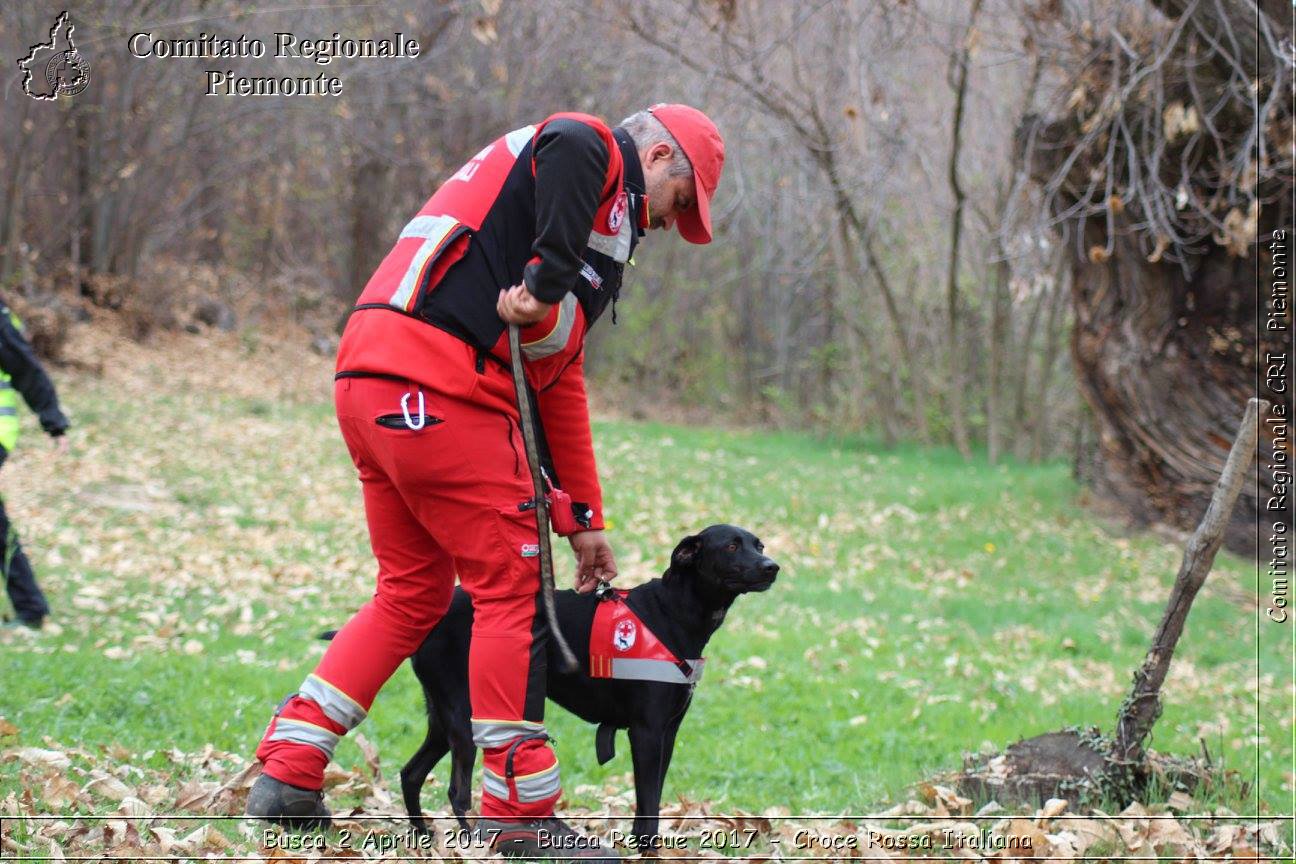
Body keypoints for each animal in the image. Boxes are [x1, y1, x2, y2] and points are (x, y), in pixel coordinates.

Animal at [399, 528, 772, 849]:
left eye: (759, 545)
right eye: (731, 546)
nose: (773, 567)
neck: (672, 612)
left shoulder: (668, 732)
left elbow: (648, 805)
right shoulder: (646, 732)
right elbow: (648, 804)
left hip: (443, 718)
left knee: (411, 774)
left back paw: (424, 838)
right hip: (463, 717)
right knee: (457, 792)